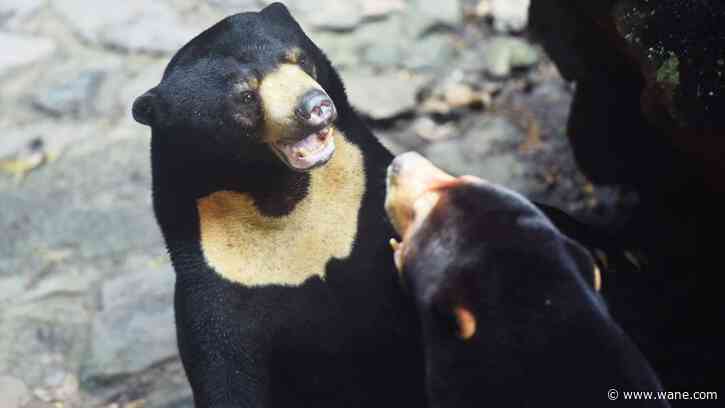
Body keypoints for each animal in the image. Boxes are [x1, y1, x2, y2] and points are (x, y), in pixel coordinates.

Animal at [132, 4, 425, 407]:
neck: (286, 199)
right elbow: (224, 373)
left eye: (299, 60)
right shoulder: (218, 282)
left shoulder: (367, 209)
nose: (316, 106)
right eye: (245, 96)